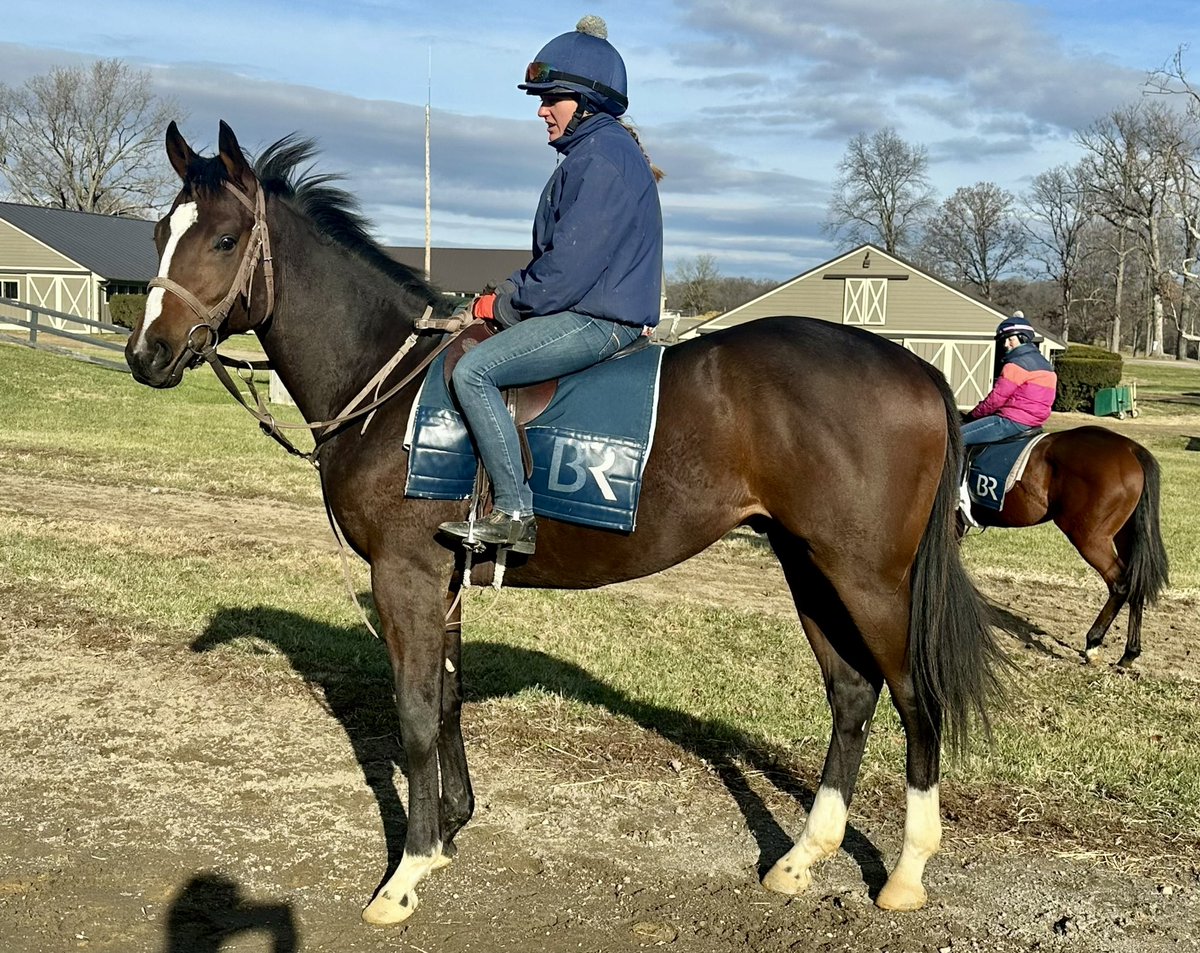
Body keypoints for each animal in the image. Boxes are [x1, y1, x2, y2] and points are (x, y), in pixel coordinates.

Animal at [125, 121, 1005, 926]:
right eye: (160, 233)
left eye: (224, 238)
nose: (146, 354)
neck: (390, 383)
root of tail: (919, 369)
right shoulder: (441, 579)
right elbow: (447, 697)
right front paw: (449, 831)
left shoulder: (403, 575)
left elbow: (415, 713)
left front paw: (406, 871)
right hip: (808, 565)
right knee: (852, 694)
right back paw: (801, 856)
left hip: (869, 579)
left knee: (915, 699)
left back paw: (906, 871)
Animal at [965, 426, 1169, 667]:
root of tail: (1130, 448)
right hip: (1125, 535)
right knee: (1136, 582)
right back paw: (1129, 653)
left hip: (1090, 539)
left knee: (1120, 584)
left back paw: (1093, 643)